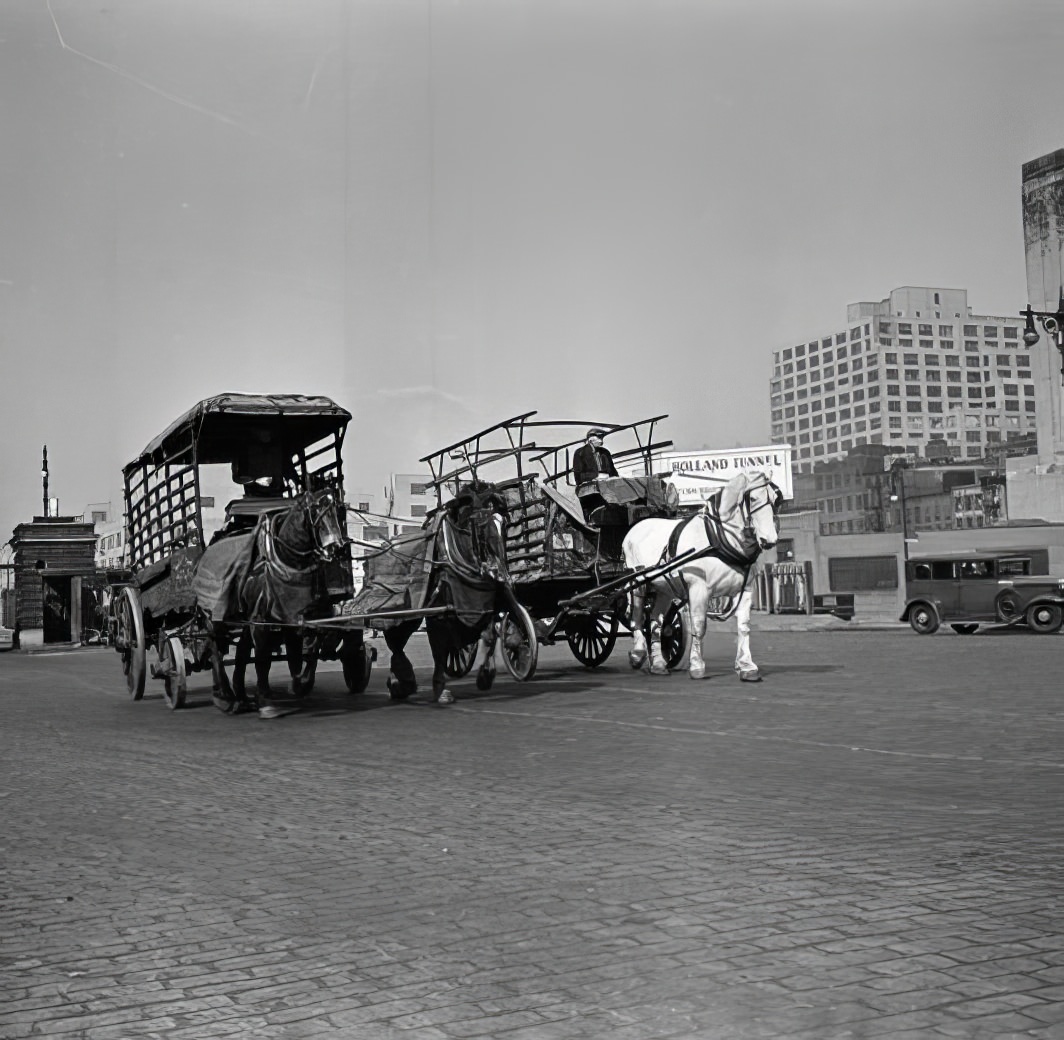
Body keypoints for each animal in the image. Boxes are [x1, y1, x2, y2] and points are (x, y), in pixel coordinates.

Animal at [197, 485, 346, 715]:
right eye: (316, 511)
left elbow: (306, 651)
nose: (337, 548)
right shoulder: (260, 620)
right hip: (213, 616)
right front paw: (266, 700)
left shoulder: (296, 617)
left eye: (338, 511)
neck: (287, 563)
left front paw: (299, 684)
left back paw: (240, 695)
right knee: (216, 650)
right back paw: (225, 695)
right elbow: (262, 659)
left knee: (241, 652)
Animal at [621, 470, 783, 681]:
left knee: (656, 621)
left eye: (775, 499)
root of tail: (635, 527)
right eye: (753, 499)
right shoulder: (699, 589)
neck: (718, 540)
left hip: (664, 588)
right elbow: (699, 626)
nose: (769, 539)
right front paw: (697, 666)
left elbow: (743, 626)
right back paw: (638, 652)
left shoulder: (745, 589)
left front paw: (747, 666)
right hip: (638, 581)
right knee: (637, 616)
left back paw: (658, 664)